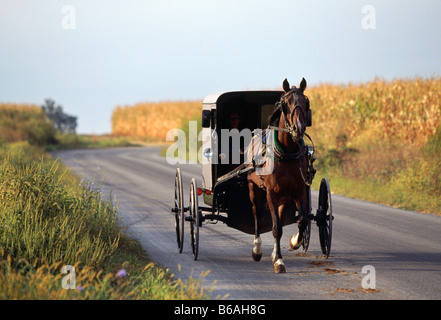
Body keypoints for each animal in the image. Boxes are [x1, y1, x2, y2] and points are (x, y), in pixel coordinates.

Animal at [246, 77, 312, 272]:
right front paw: (279, 261)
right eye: (285, 103)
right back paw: (257, 249)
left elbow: (302, 220)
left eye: (305, 102)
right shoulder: (271, 193)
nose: (299, 128)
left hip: (283, 196)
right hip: (254, 188)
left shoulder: (299, 191)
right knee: (257, 213)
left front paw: (294, 242)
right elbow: (276, 228)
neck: (287, 153)